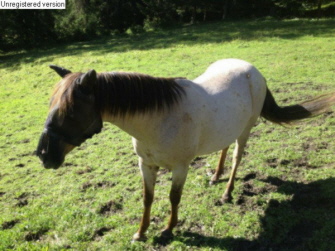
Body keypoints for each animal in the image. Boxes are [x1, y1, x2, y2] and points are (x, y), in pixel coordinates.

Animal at [35, 58, 334, 241]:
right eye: (50, 104)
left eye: (71, 111)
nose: (44, 155)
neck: (157, 118)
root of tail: (253, 71)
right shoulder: (146, 165)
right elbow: (147, 198)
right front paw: (141, 233)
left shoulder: (180, 167)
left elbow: (173, 198)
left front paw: (168, 230)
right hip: (229, 127)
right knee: (224, 147)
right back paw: (215, 177)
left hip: (246, 130)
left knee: (237, 158)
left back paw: (227, 193)